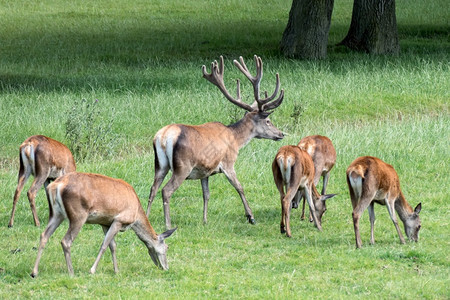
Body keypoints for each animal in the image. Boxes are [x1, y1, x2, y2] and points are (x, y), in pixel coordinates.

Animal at [30, 171, 176, 276]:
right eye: (167, 247)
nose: (166, 267)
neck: (136, 216)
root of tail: (55, 186)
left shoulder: (105, 223)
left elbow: (113, 246)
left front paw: (116, 271)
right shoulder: (119, 220)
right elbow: (105, 245)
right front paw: (92, 270)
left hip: (56, 213)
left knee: (44, 235)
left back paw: (34, 272)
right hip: (78, 215)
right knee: (66, 240)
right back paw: (71, 272)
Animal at [146, 55, 284, 229]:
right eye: (268, 121)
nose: (281, 134)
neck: (235, 139)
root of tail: (163, 137)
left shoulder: (205, 170)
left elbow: (206, 194)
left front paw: (205, 220)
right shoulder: (228, 162)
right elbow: (239, 187)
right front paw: (251, 217)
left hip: (160, 164)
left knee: (153, 189)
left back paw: (146, 217)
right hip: (182, 166)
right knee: (166, 190)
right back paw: (168, 225)